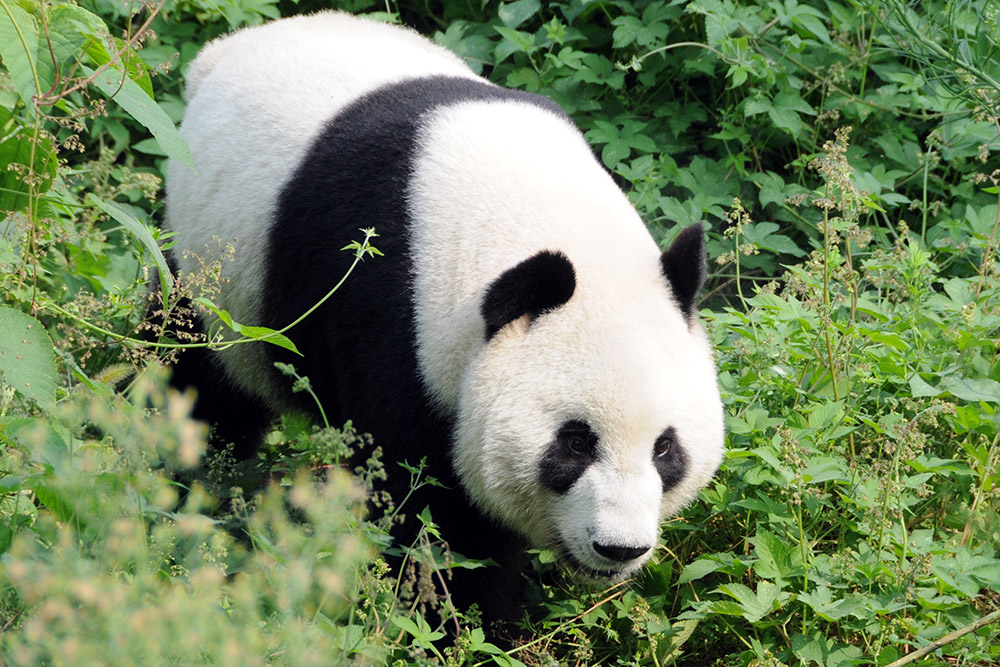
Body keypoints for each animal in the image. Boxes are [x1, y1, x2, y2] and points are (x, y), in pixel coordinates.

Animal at [165, 11, 725, 637]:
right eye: (576, 442)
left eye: (665, 449)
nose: (619, 548)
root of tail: (222, 51)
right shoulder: (394, 321)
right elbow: (430, 510)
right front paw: (466, 627)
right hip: (215, 271)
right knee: (197, 372)